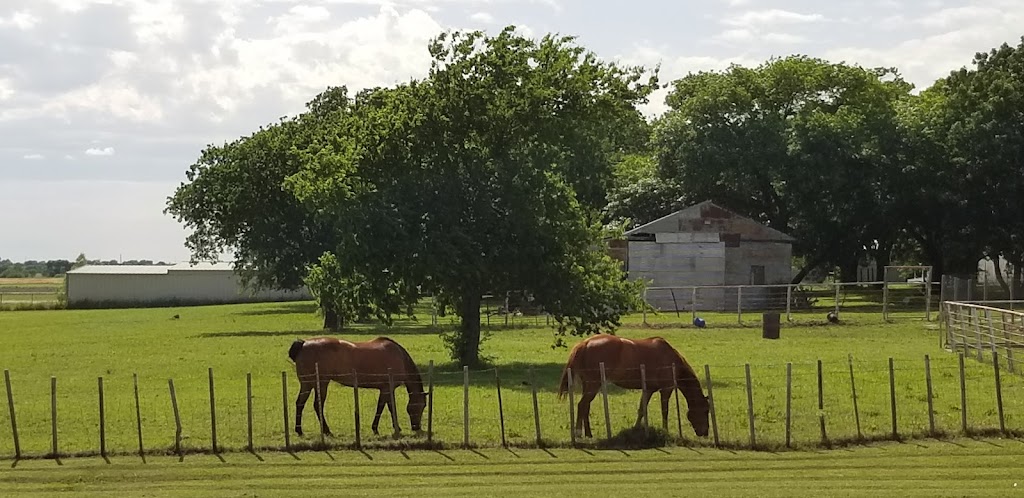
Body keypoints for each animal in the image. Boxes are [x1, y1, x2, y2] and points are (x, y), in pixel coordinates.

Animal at [286, 336, 425, 438]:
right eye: (422, 406)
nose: (416, 427)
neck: (400, 357)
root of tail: (304, 343)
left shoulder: (385, 389)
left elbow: (386, 407)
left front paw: (389, 428)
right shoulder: (387, 389)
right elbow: (385, 408)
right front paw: (382, 428)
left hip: (307, 384)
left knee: (300, 403)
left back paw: (299, 431)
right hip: (321, 383)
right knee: (316, 405)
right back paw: (327, 430)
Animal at [557, 334, 708, 436]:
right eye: (706, 411)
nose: (705, 433)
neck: (672, 360)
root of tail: (585, 343)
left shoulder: (649, 390)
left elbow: (642, 409)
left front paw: (636, 429)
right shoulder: (666, 389)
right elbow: (664, 411)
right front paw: (665, 430)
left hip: (588, 385)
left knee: (585, 406)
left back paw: (588, 434)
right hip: (593, 385)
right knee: (582, 405)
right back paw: (578, 433)